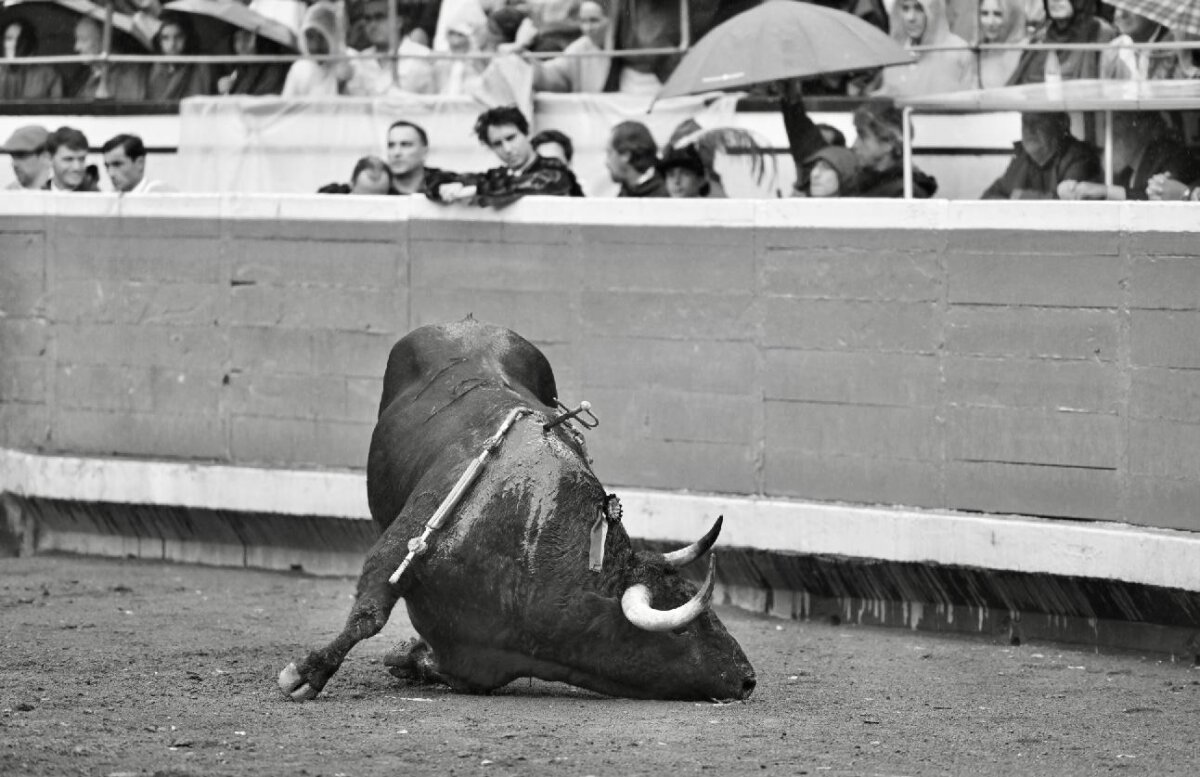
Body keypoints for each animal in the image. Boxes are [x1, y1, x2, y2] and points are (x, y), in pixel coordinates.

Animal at [278, 320, 756, 701]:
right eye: (683, 628)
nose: (748, 679)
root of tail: (465, 323)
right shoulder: (399, 547)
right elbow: (369, 614)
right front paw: (305, 673)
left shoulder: (471, 665)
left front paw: (407, 658)